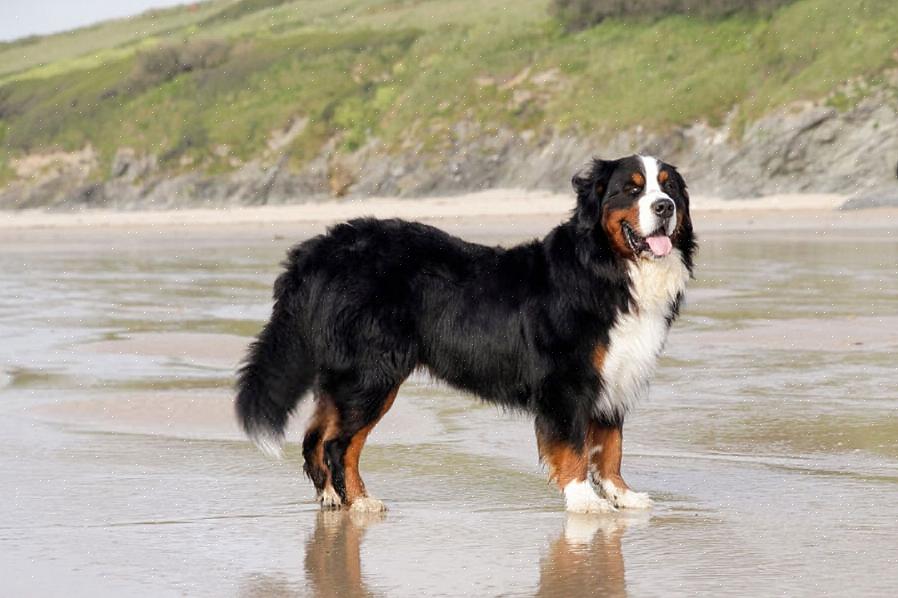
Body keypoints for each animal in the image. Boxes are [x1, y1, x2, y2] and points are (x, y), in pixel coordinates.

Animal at [236, 156, 692, 516]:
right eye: (632, 189)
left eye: (669, 187)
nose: (664, 207)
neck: (608, 269)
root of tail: (319, 249)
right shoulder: (568, 384)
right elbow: (575, 448)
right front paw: (585, 501)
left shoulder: (615, 378)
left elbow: (610, 449)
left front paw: (622, 495)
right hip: (373, 376)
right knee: (338, 445)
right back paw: (360, 501)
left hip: (347, 376)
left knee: (316, 437)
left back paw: (332, 499)